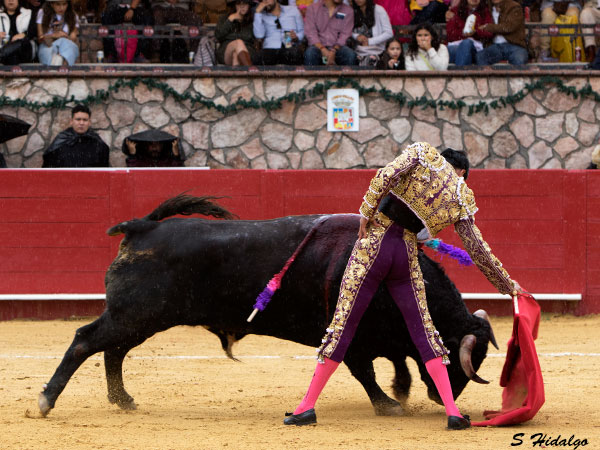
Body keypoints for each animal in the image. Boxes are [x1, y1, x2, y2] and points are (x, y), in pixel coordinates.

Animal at [38, 195, 496, 416]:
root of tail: (142, 227)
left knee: (112, 351)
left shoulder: (381, 336)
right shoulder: (348, 336)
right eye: (461, 361)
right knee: (86, 341)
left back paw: (123, 400)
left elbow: (397, 359)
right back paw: (47, 401)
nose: (442, 396)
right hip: (133, 315)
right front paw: (388, 405)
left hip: (139, 319)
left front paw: (400, 391)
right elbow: (363, 371)